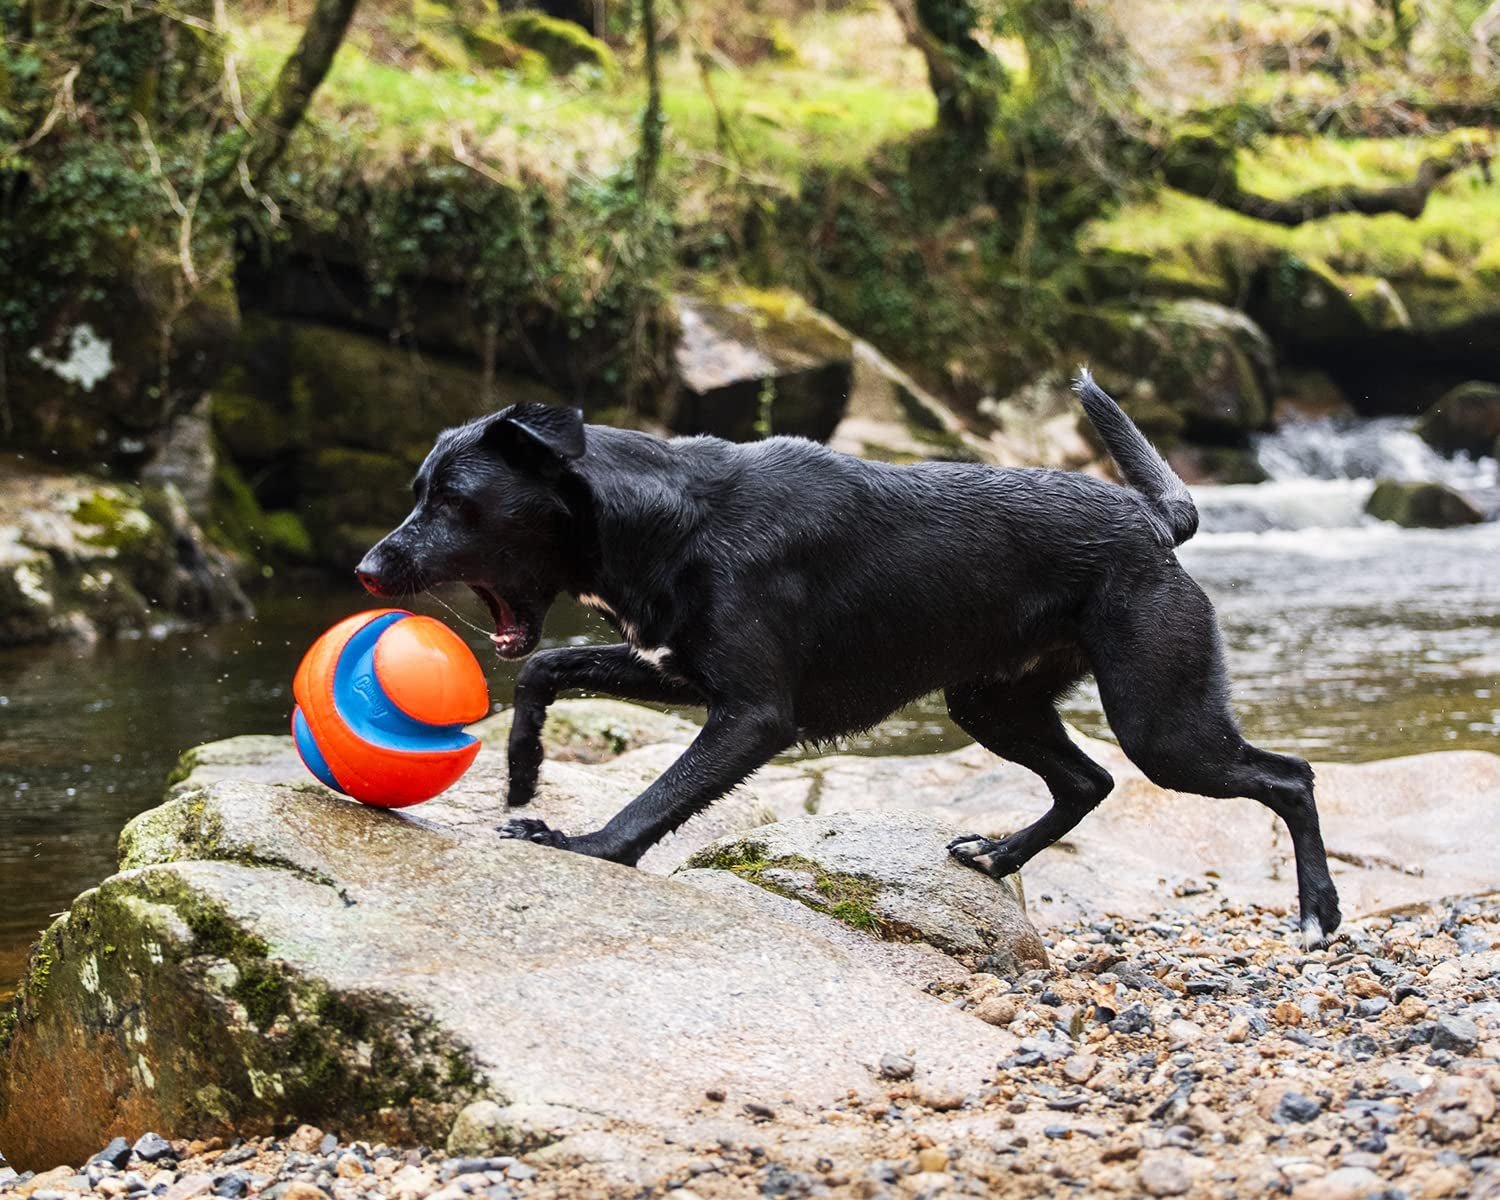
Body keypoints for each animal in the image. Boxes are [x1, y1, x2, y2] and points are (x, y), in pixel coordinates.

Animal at [360, 372, 1350, 948]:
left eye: (455, 501)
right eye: (417, 491)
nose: (367, 570)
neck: (675, 516)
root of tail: (1156, 521)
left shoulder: (753, 714)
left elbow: (653, 804)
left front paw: (582, 843)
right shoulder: (677, 667)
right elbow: (542, 671)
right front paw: (523, 774)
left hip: (1161, 722)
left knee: (1290, 777)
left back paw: (1318, 912)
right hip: (992, 703)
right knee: (1088, 781)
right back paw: (998, 858)